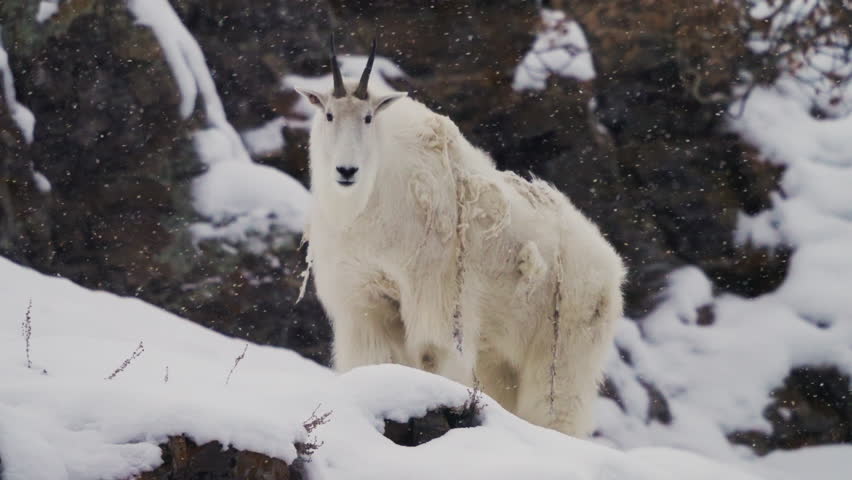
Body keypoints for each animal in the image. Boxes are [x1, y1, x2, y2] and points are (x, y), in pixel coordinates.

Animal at [295, 36, 626, 436]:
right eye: (329, 115)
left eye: (368, 117)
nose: (346, 171)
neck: (371, 203)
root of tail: (612, 268)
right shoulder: (365, 300)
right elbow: (373, 358)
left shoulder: (437, 294)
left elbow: (432, 355)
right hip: (501, 357)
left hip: (564, 344)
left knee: (555, 408)